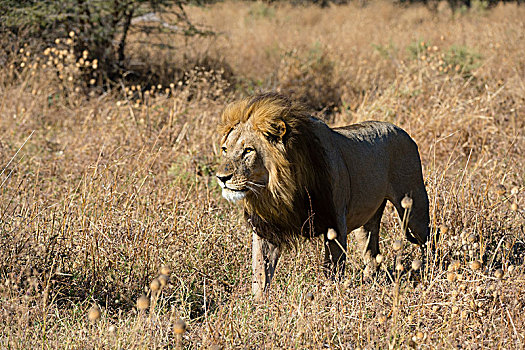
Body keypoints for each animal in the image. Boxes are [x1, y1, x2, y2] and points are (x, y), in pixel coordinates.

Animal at [215, 91, 428, 300]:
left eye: (248, 150)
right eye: (225, 149)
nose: (221, 178)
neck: (278, 191)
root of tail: (401, 130)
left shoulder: (335, 224)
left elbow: (332, 270)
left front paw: (330, 296)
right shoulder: (266, 228)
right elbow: (260, 271)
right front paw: (258, 305)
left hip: (414, 207)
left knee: (427, 241)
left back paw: (428, 274)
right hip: (367, 222)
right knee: (372, 253)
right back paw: (369, 283)